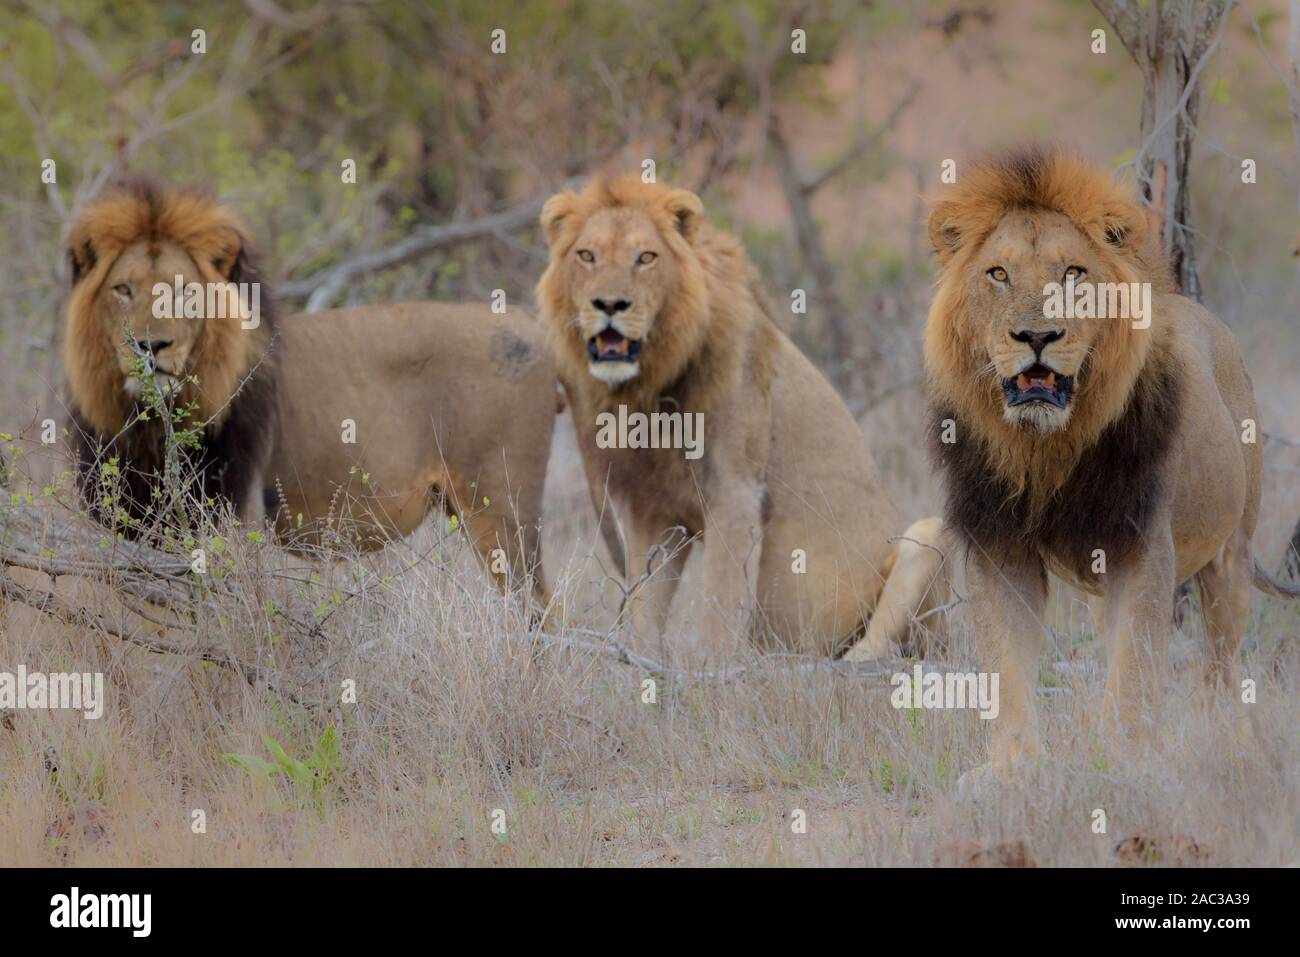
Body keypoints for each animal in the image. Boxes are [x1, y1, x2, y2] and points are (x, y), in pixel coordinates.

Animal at [63, 178, 556, 605]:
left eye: (184, 292)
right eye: (123, 289)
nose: (150, 345)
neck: (146, 423)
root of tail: (531, 322)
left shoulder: (234, 512)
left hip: (501, 510)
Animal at [533, 174, 951, 657]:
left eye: (646, 257)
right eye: (587, 255)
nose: (609, 305)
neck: (653, 382)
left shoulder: (735, 495)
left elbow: (719, 611)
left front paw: (710, 674)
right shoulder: (653, 510)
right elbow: (644, 609)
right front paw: (643, 666)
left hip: (927, 539)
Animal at [925, 145, 1300, 780]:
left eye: (1073, 273)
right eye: (998, 274)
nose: (1037, 336)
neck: (1046, 447)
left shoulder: (1142, 546)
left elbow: (1134, 672)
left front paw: (1123, 765)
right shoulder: (999, 549)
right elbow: (1006, 667)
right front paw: (1009, 769)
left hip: (1231, 550)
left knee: (1221, 666)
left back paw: (1229, 747)